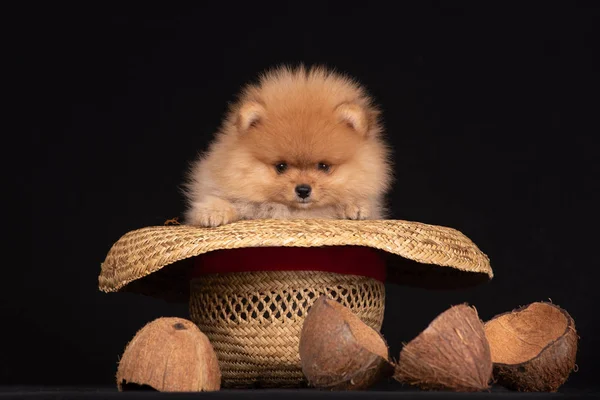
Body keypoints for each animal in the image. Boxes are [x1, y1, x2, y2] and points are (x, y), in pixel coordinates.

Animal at [182, 65, 394, 228]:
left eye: (324, 166)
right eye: (281, 166)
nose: (303, 190)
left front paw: (355, 206)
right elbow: (230, 200)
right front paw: (213, 211)